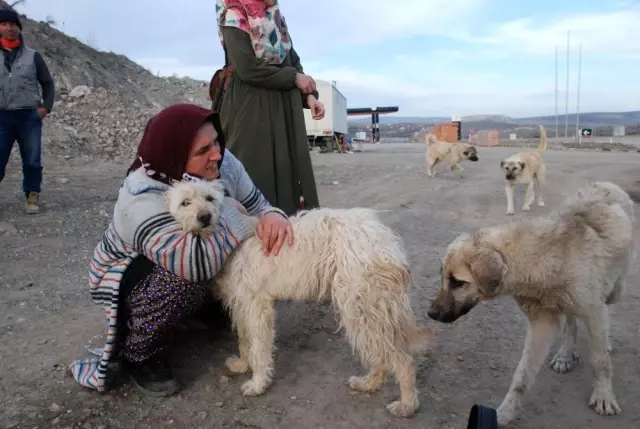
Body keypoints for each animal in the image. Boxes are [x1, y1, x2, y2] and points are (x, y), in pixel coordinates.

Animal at [165, 178, 436, 418]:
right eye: (185, 202)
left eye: (210, 198)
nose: (205, 217)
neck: (230, 244)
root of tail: (383, 236)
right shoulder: (241, 304)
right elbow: (244, 340)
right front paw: (243, 365)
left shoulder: (257, 306)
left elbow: (259, 348)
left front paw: (258, 383)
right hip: (365, 309)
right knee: (382, 355)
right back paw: (369, 383)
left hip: (363, 306)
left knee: (402, 360)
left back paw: (407, 405)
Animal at [424, 181, 636, 424]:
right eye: (443, 278)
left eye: (458, 282)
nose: (431, 314)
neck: (541, 261)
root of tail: (605, 183)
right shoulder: (542, 323)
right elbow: (522, 375)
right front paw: (504, 412)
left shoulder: (593, 310)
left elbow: (599, 360)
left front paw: (603, 395)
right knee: (571, 320)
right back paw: (565, 353)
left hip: (615, 290)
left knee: (605, 312)